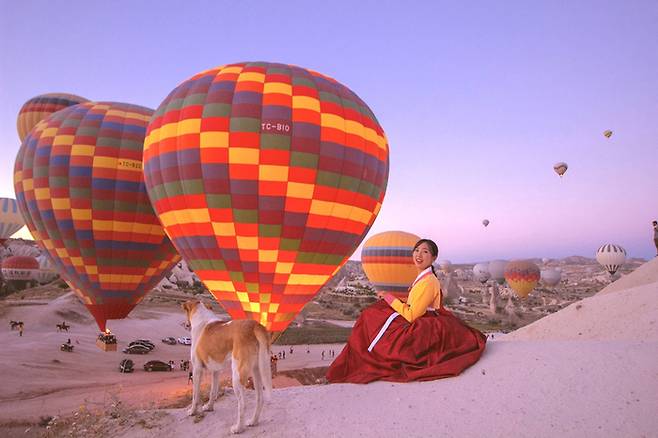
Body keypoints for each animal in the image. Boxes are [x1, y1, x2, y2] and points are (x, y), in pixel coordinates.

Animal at [181, 300, 270, 432]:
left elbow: (195, 395)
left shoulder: (197, 369)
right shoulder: (216, 371)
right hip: (257, 371)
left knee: (242, 405)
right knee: (260, 398)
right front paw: (209, 407)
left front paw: (192, 411)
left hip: (237, 376)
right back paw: (253, 422)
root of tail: (254, 325)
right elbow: (213, 391)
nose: (185, 324)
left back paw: (238, 428)